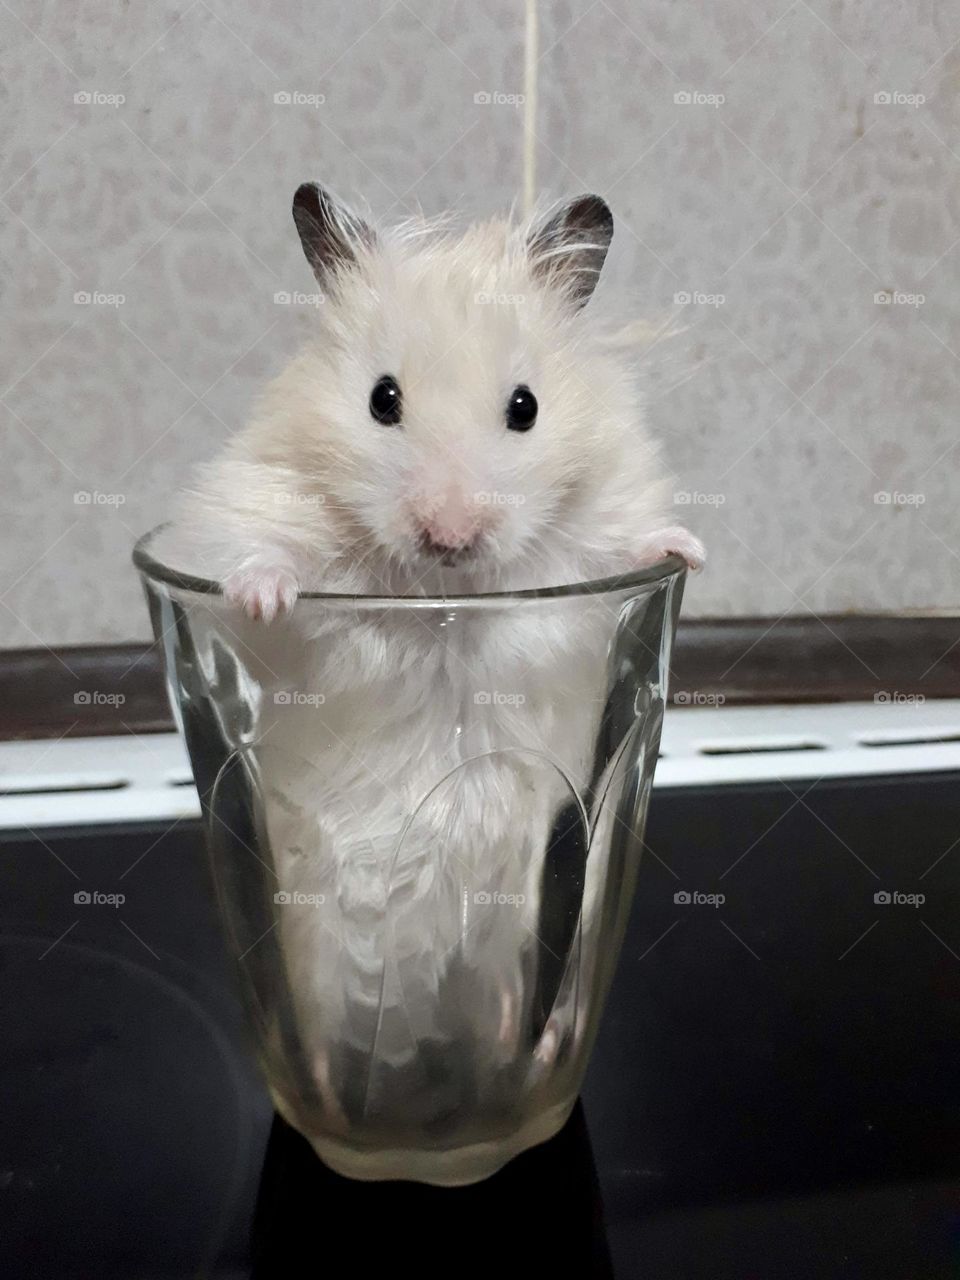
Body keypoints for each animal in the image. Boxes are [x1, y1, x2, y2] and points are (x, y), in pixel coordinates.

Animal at [163, 185, 706, 1136]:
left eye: (525, 407)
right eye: (383, 399)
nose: (450, 534)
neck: (443, 597)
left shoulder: (591, 538)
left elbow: (620, 543)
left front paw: (689, 549)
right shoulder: (258, 500)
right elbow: (268, 558)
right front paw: (263, 594)